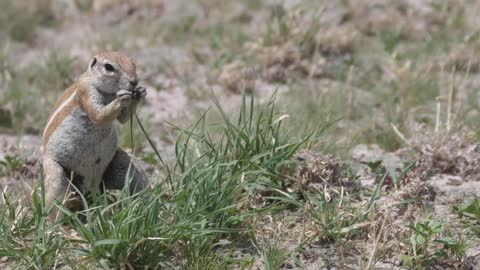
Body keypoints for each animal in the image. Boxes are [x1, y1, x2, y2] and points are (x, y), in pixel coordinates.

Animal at [42, 51, 149, 214]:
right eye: (109, 67)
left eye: (133, 64)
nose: (134, 81)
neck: (109, 93)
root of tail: (91, 185)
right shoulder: (86, 91)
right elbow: (98, 115)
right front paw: (122, 98)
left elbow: (123, 119)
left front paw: (141, 93)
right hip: (54, 171)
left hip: (124, 164)